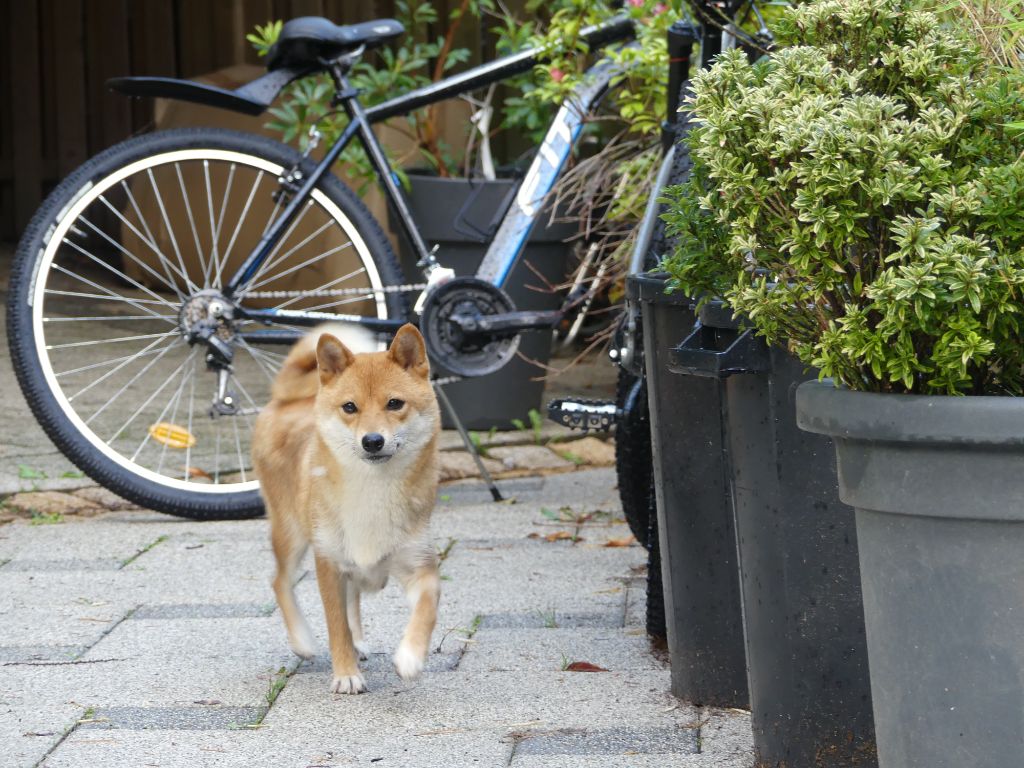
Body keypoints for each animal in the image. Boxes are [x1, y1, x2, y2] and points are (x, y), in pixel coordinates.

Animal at [253, 321, 442, 696]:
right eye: (350, 407)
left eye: (395, 403)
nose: (372, 441)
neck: (373, 490)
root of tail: (287, 399)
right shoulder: (328, 564)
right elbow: (336, 625)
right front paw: (346, 674)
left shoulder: (418, 564)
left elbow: (428, 606)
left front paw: (411, 656)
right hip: (291, 533)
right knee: (280, 581)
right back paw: (303, 641)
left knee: (352, 596)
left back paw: (358, 644)